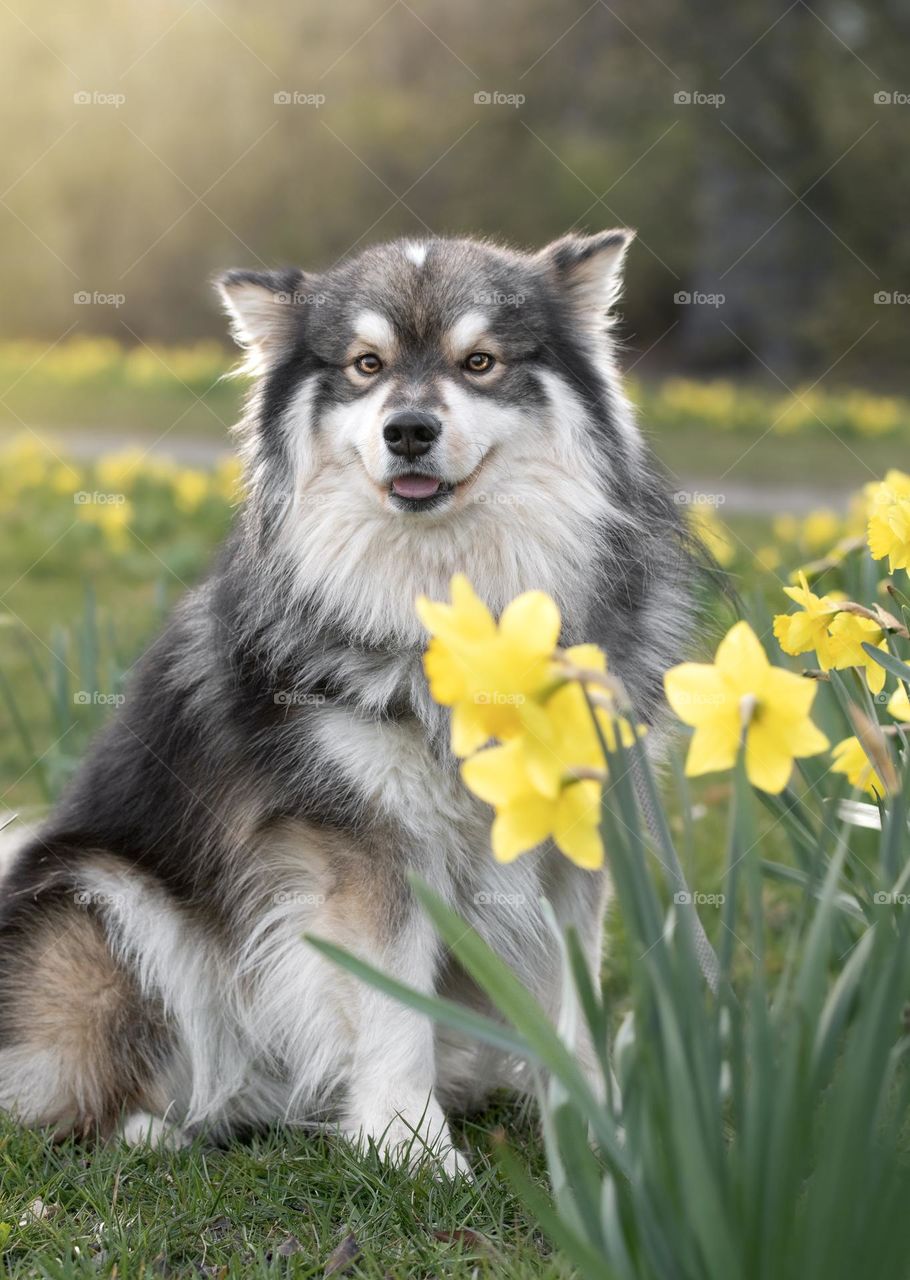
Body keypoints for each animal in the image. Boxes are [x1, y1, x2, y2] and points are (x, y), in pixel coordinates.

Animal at [0, 227, 696, 1172]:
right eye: (367, 366)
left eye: (479, 361)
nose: (409, 430)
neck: (450, 598)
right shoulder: (370, 844)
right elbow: (393, 1003)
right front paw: (412, 1149)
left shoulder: (573, 838)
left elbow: (576, 1000)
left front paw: (603, 1133)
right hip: (99, 895)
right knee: (61, 1091)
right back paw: (155, 1128)